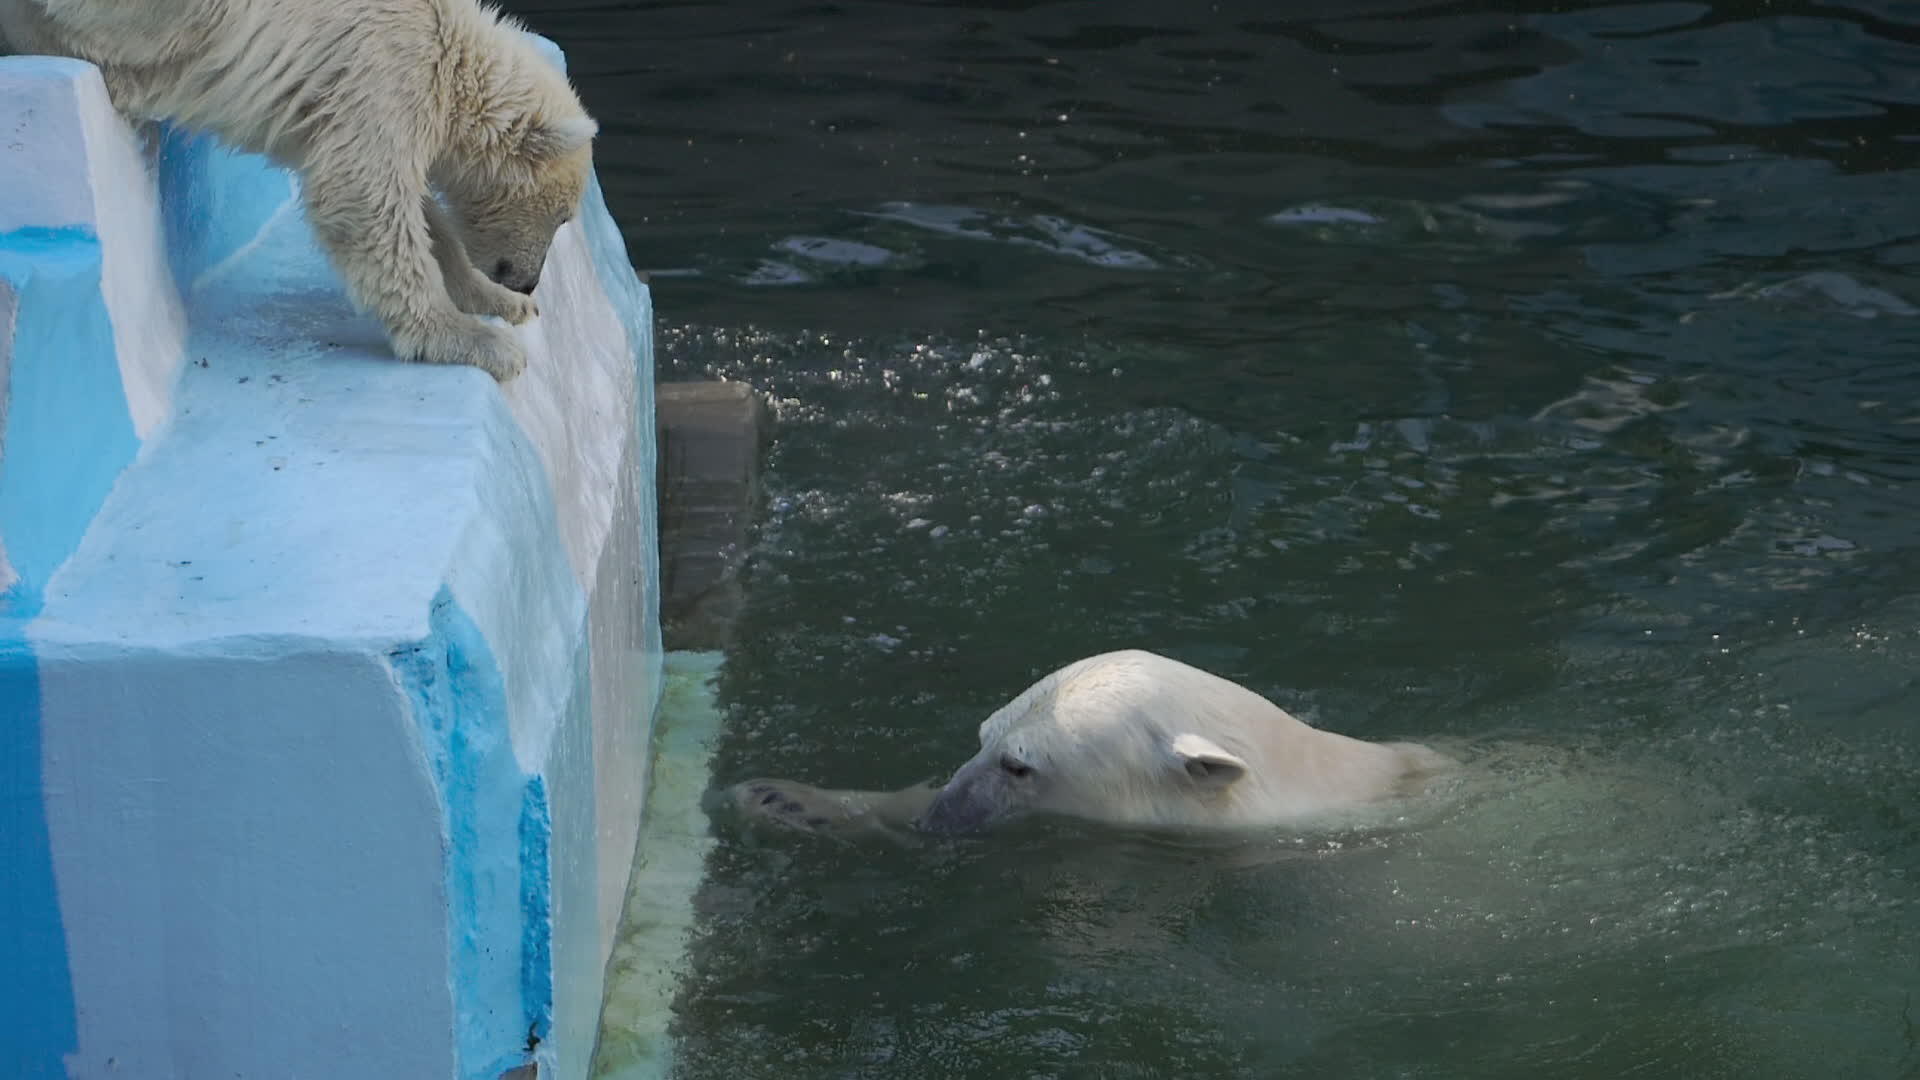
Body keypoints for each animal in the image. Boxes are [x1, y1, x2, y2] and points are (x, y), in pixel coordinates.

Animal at [0, 0, 599, 382]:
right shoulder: (387, 68)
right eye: (562, 217)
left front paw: (497, 301)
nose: (529, 282)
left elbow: (409, 208)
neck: (451, 49)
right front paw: (479, 343)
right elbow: (361, 196)